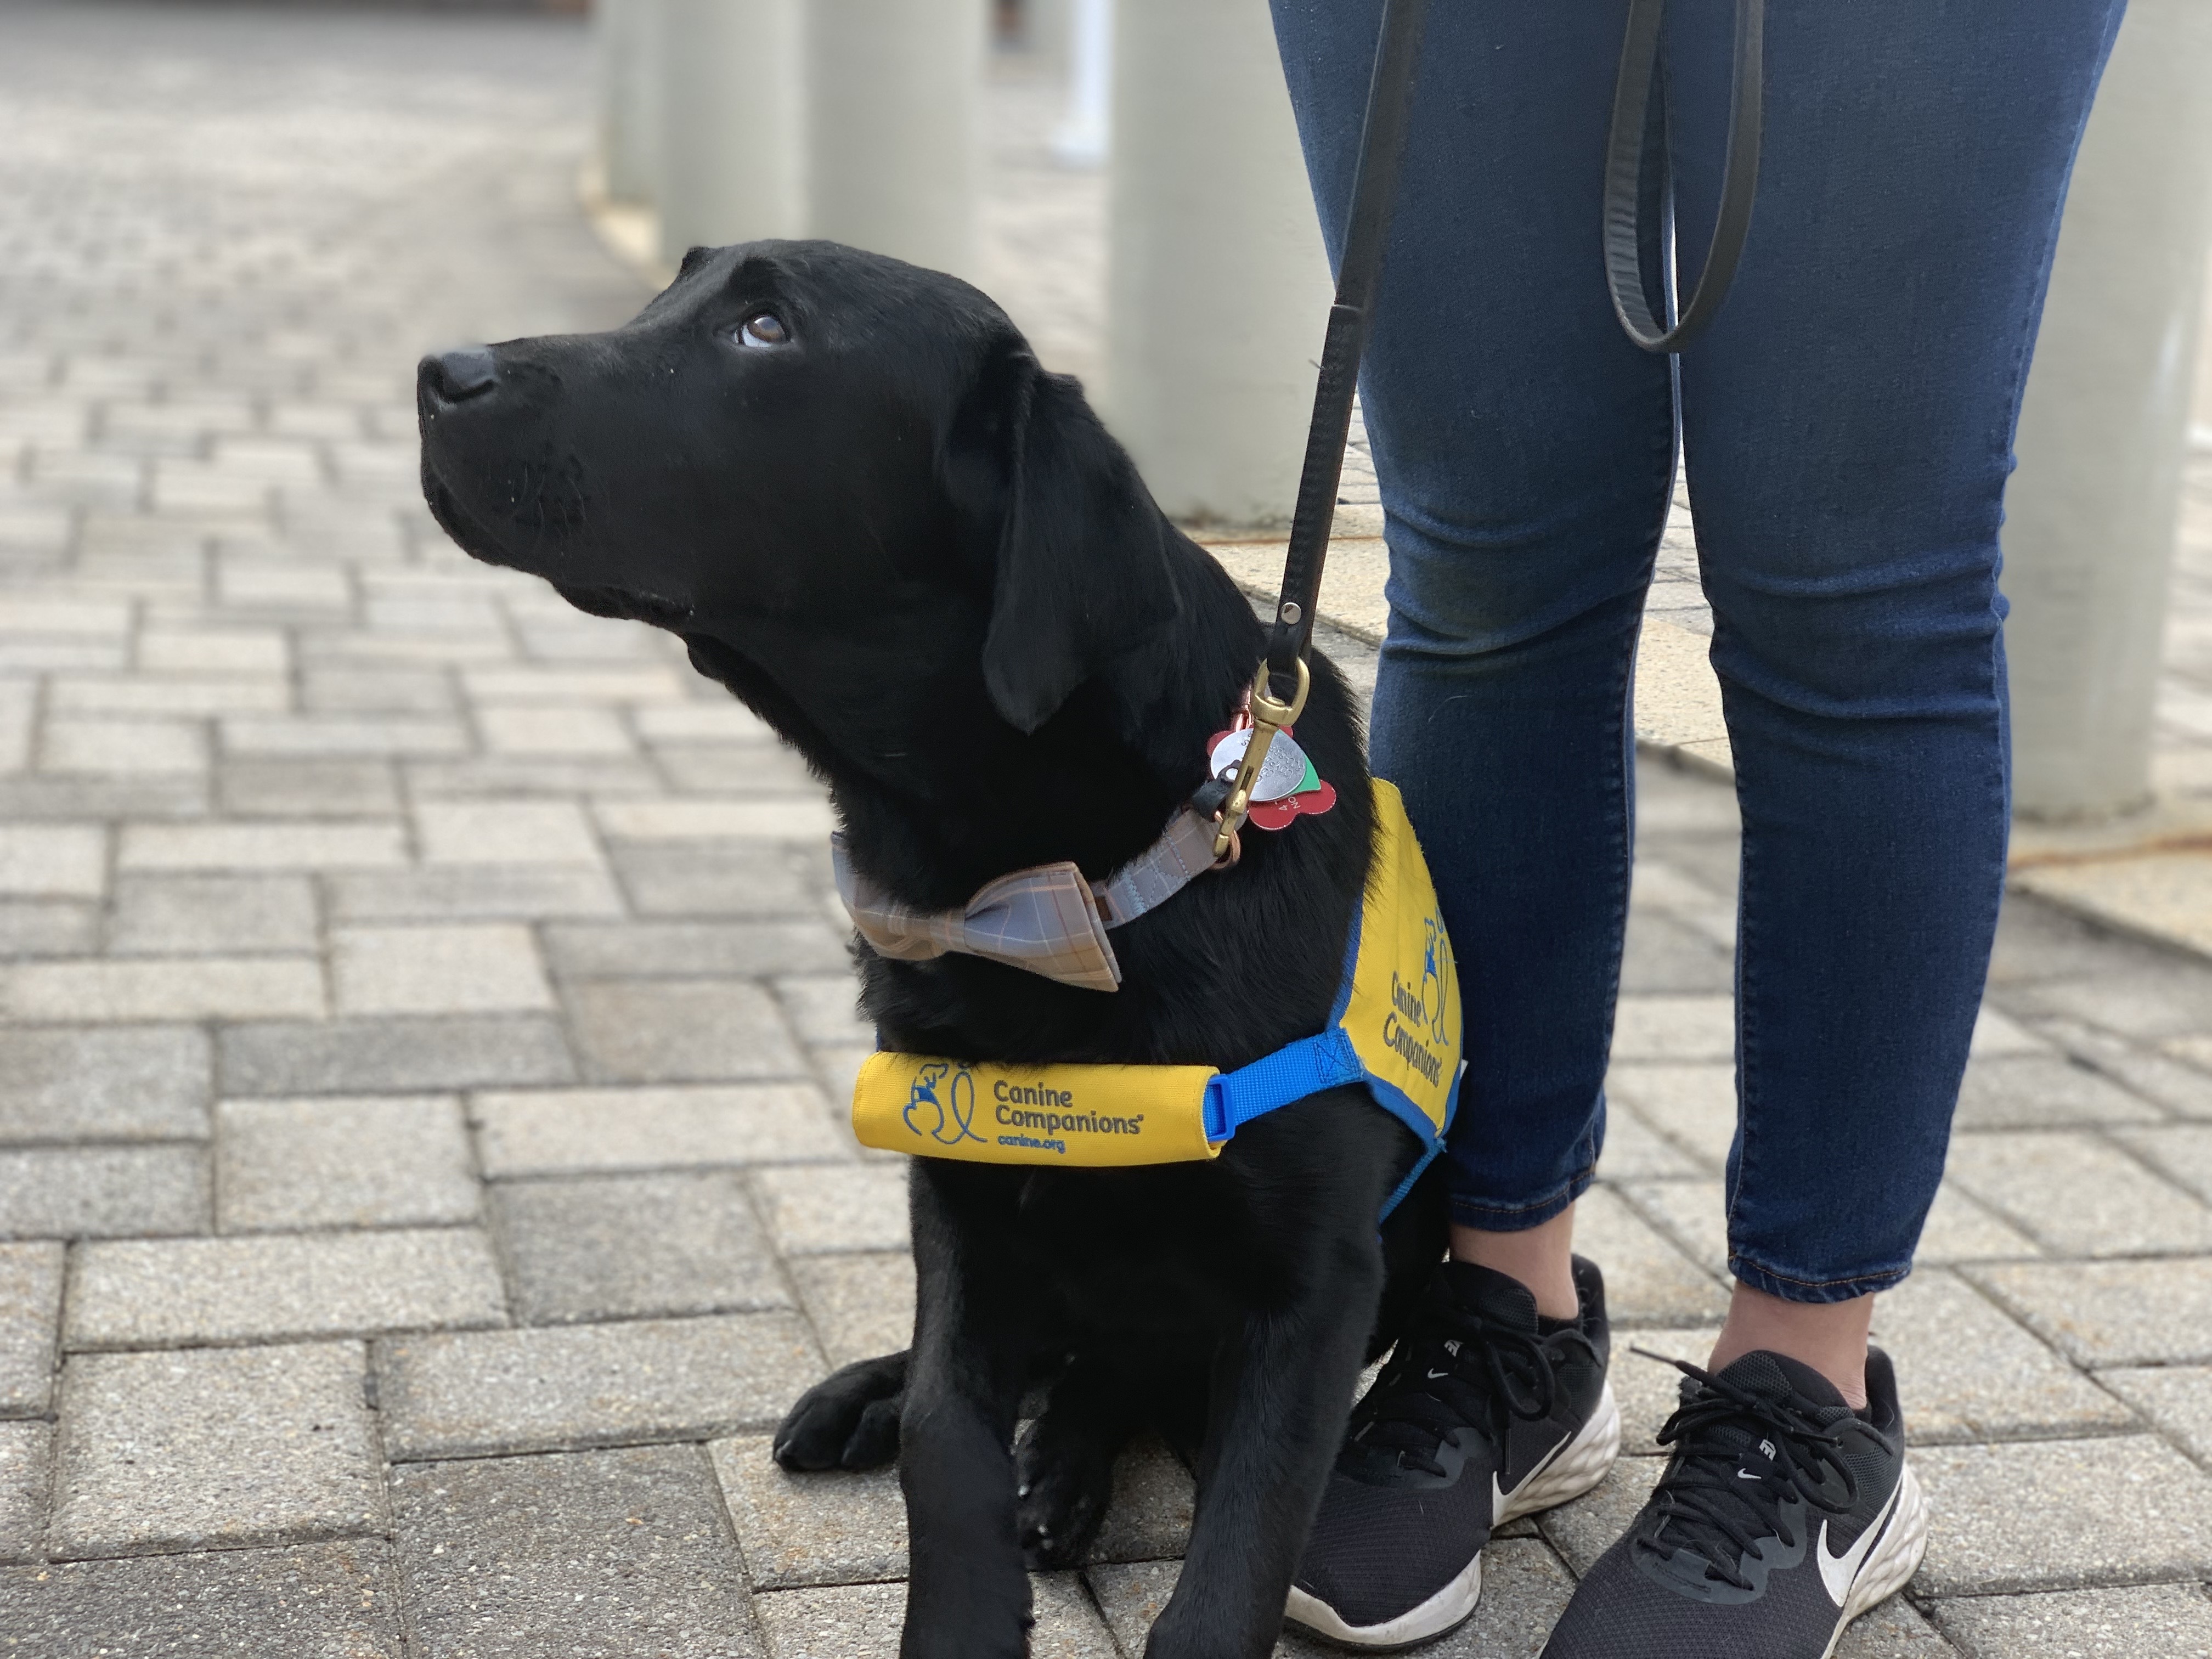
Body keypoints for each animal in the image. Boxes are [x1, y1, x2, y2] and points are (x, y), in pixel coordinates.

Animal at [418, 240, 1451, 1654]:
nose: (437, 373)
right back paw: (881, 1401)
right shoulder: (957, 1186)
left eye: (765, 328)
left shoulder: (1316, 1289)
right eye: (668, 291)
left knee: (1113, 1371)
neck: (1058, 890)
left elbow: (1235, 1558)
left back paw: (1059, 1467)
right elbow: (944, 1433)